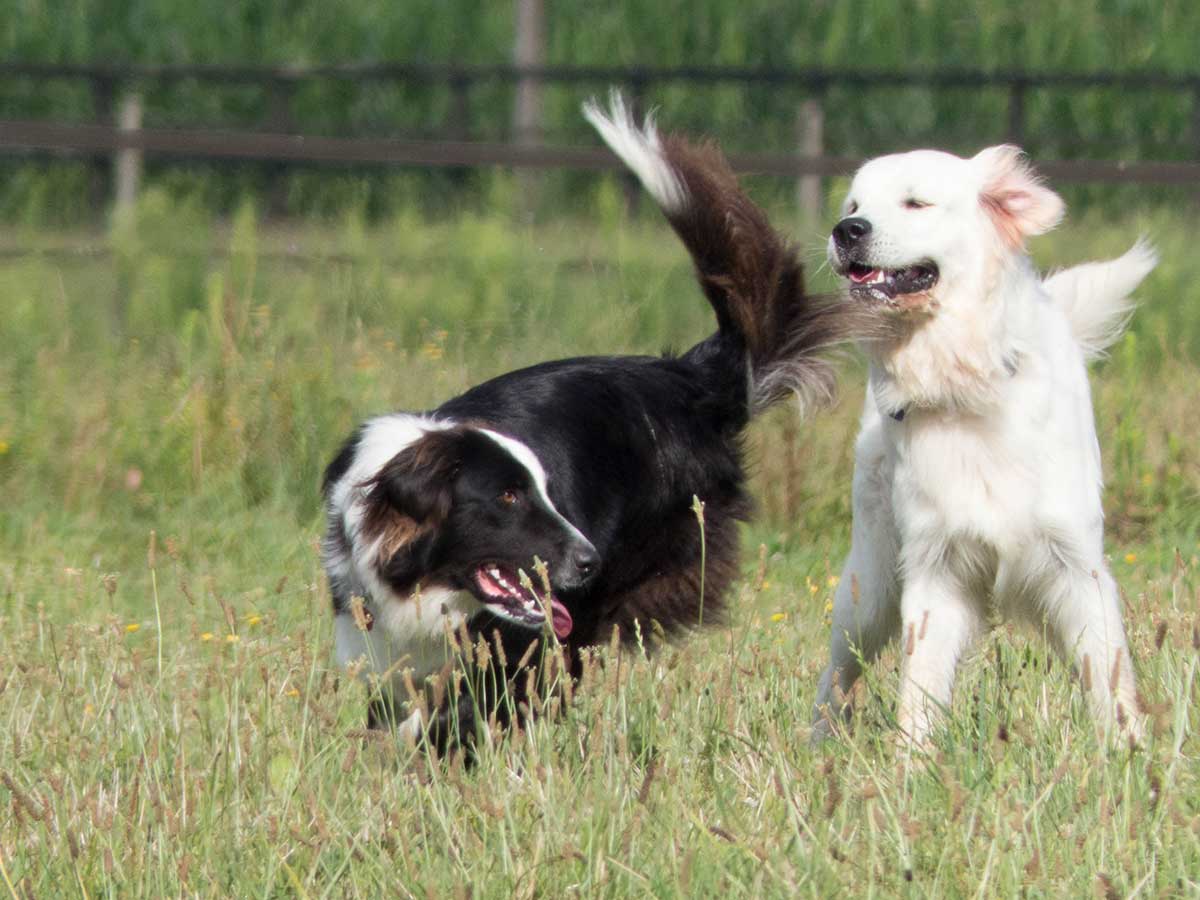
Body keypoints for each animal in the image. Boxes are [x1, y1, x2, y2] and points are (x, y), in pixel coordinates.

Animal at [321, 95, 864, 748]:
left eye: (543, 493)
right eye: (506, 497)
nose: (587, 562)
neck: (423, 585)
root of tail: (681, 377)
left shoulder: (511, 647)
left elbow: (468, 709)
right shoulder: (380, 646)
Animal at [816, 144, 1152, 744]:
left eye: (916, 202)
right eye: (854, 205)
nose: (846, 230)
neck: (967, 384)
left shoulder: (1076, 565)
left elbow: (1109, 675)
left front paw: (1131, 751)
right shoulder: (934, 568)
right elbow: (919, 689)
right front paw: (911, 760)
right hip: (869, 589)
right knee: (834, 675)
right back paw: (815, 742)